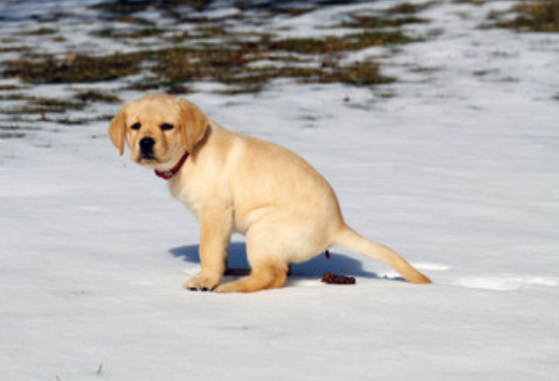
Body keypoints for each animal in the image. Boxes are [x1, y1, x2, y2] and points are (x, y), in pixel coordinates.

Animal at [110, 93, 434, 292]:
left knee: (274, 276)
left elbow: (208, 250)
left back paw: (232, 287)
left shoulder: (214, 211)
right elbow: (220, 251)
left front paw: (205, 280)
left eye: (168, 126)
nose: (146, 142)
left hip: (262, 230)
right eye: (135, 126)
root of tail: (338, 225)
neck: (188, 155)